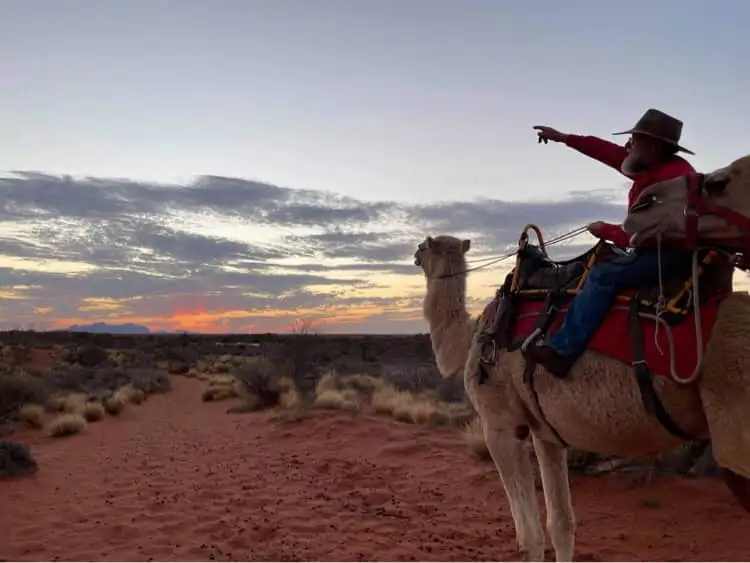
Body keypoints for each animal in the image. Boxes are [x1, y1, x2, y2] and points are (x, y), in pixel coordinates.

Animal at [414, 232, 750, 560]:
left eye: (423, 246)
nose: (415, 255)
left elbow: (530, 536)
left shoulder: (500, 424)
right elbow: (561, 524)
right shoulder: (545, 432)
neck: (472, 337)